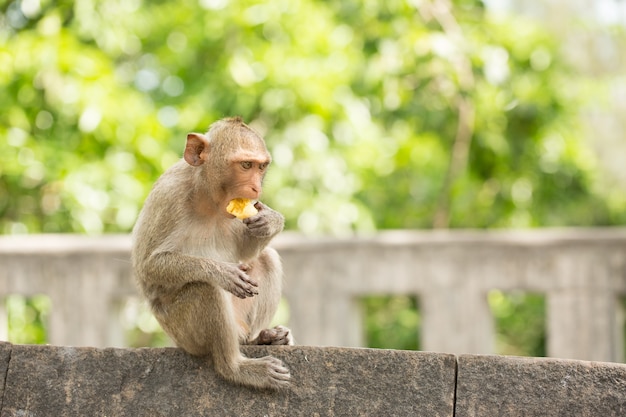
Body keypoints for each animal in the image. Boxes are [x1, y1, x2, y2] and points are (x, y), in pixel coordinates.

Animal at [132, 115, 292, 388]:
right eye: (246, 165)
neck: (206, 196)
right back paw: (236, 367)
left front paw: (271, 221)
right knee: (205, 288)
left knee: (266, 258)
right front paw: (222, 272)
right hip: (183, 333)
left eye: (261, 167)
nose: (256, 189)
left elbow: (247, 250)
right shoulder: (169, 196)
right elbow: (147, 267)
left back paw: (261, 338)